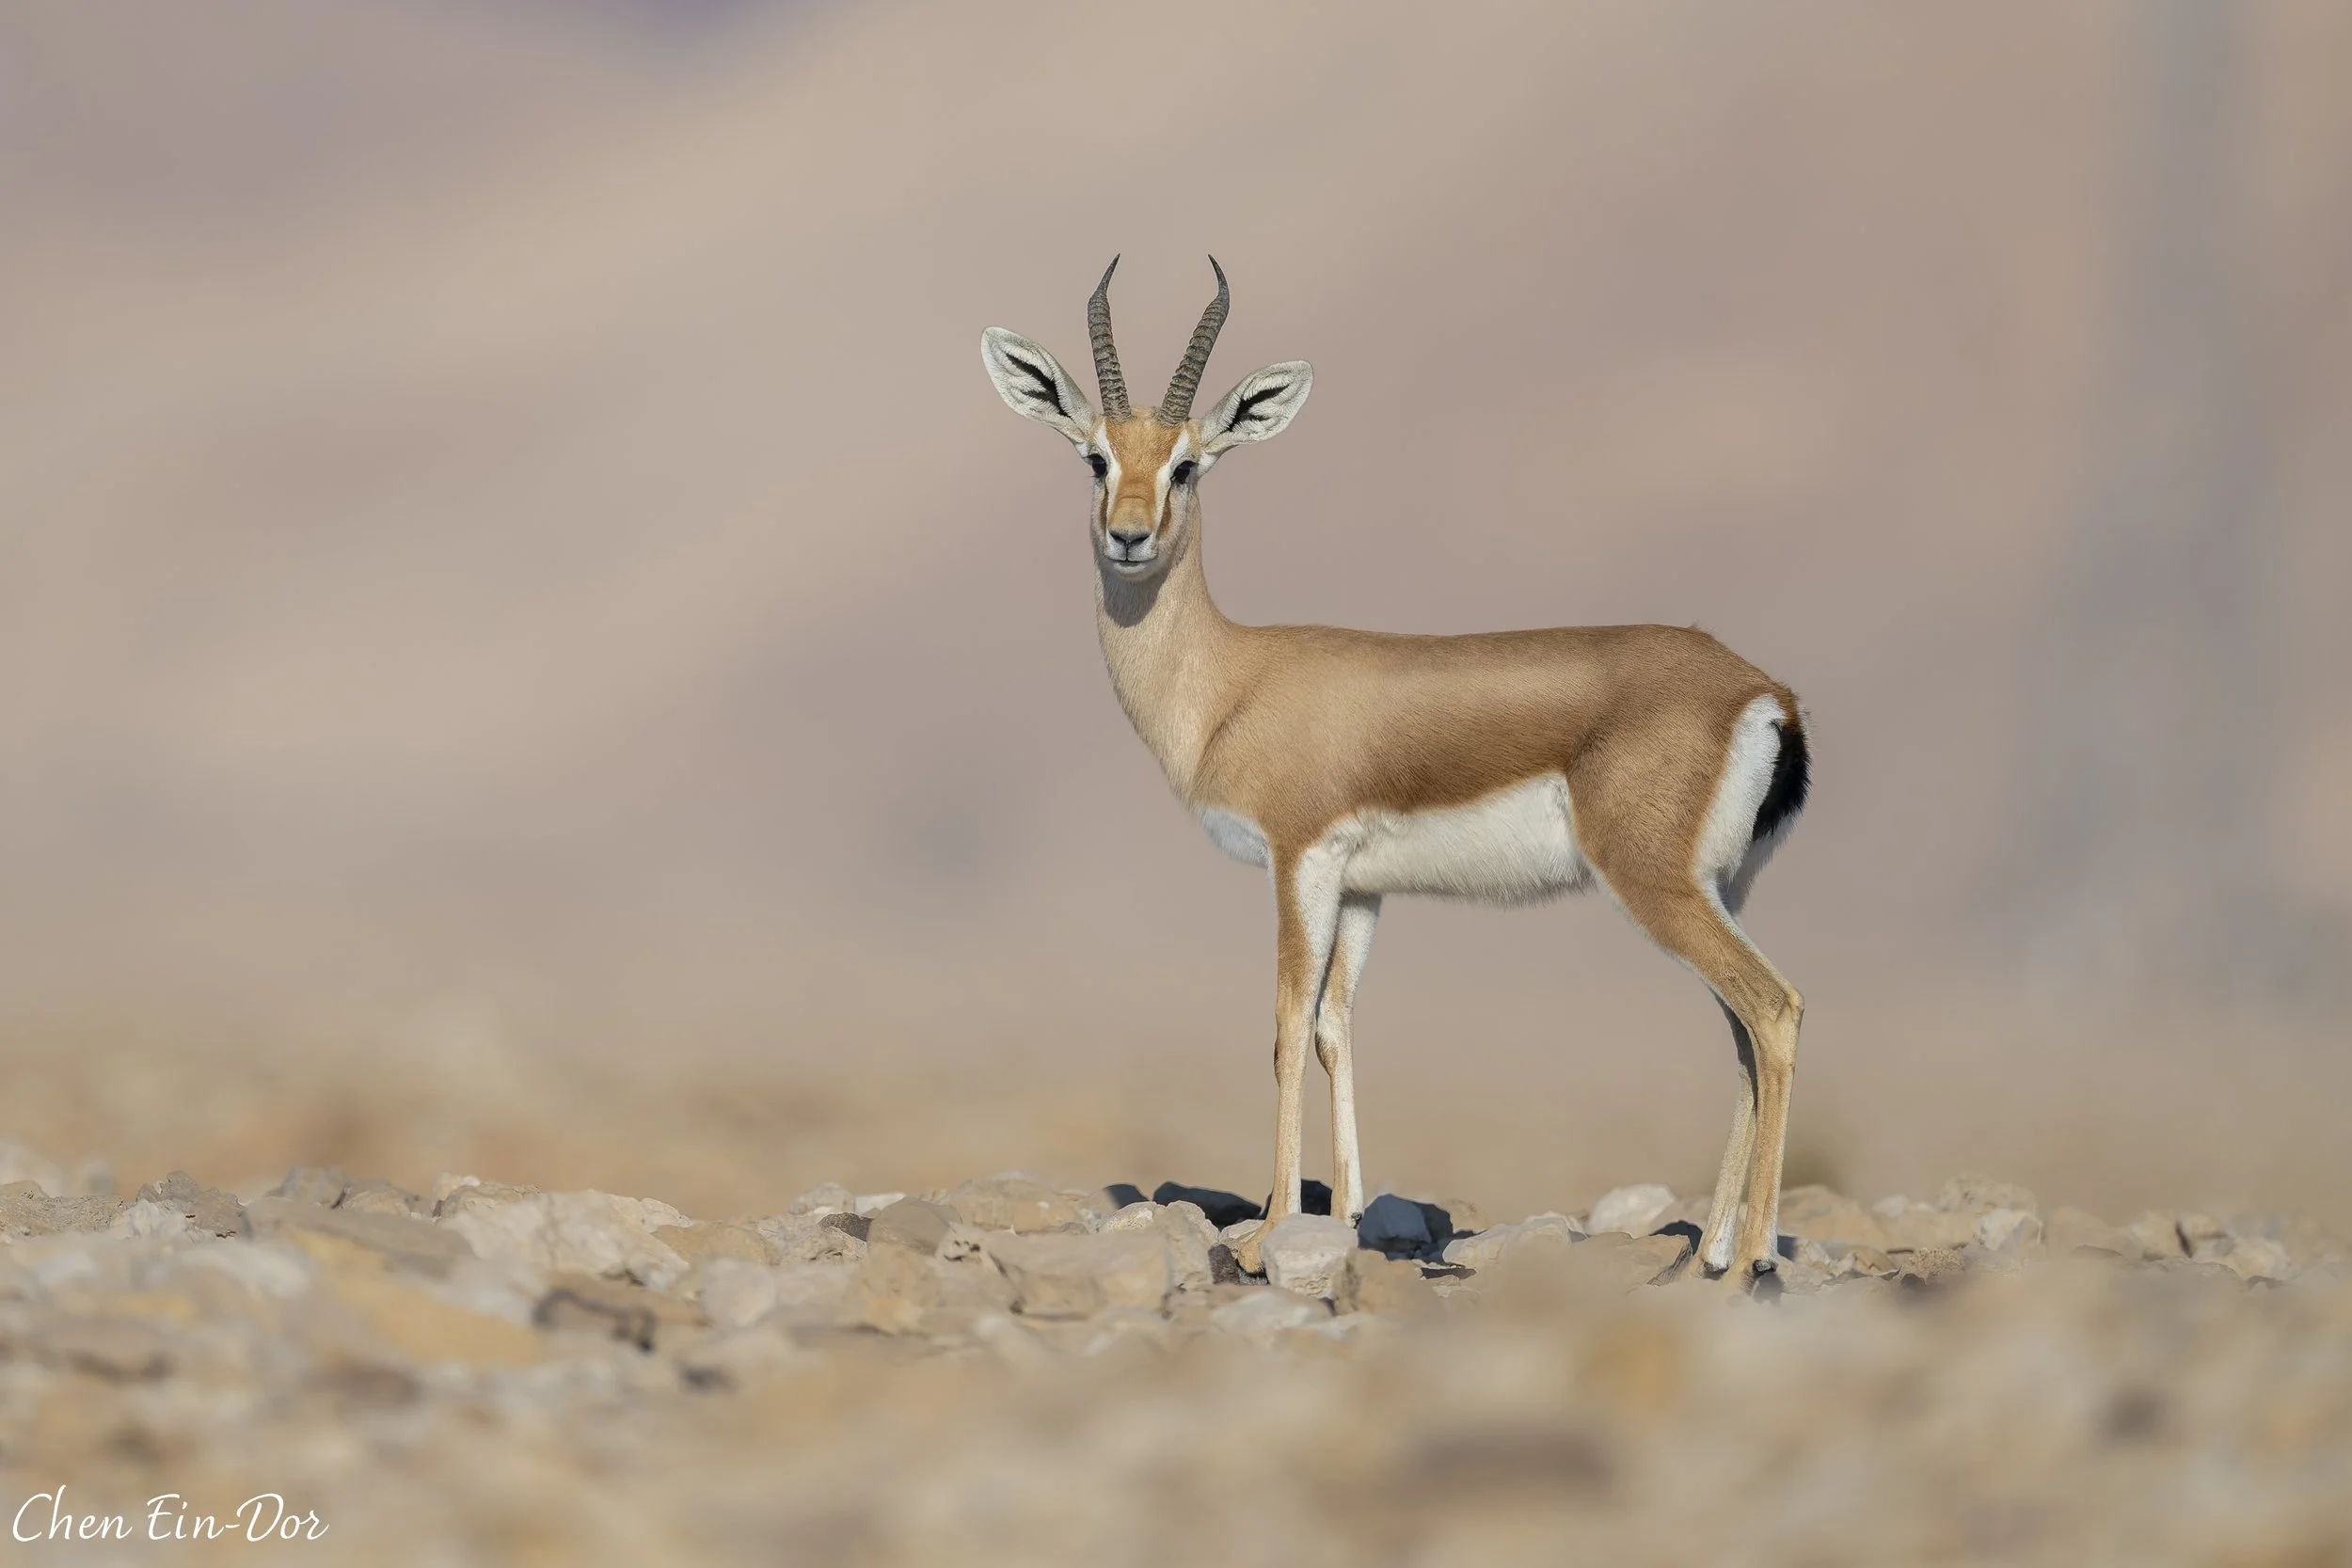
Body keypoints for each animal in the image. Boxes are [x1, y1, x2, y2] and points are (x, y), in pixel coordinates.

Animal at [981, 258, 1811, 1287]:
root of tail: (1764, 691)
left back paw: (1748, 1261)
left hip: (1657, 885)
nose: (1129, 536)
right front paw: (1344, 1217)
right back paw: (1701, 1256)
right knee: (1739, 1034)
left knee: (1772, 1010)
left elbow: (1285, 1023)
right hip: (1719, 886)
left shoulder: (1298, 858)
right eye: (1096, 457)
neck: (1229, 681)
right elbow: (1336, 1028)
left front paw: (1264, 1231)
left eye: (1188, 463)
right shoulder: (1364, 887)